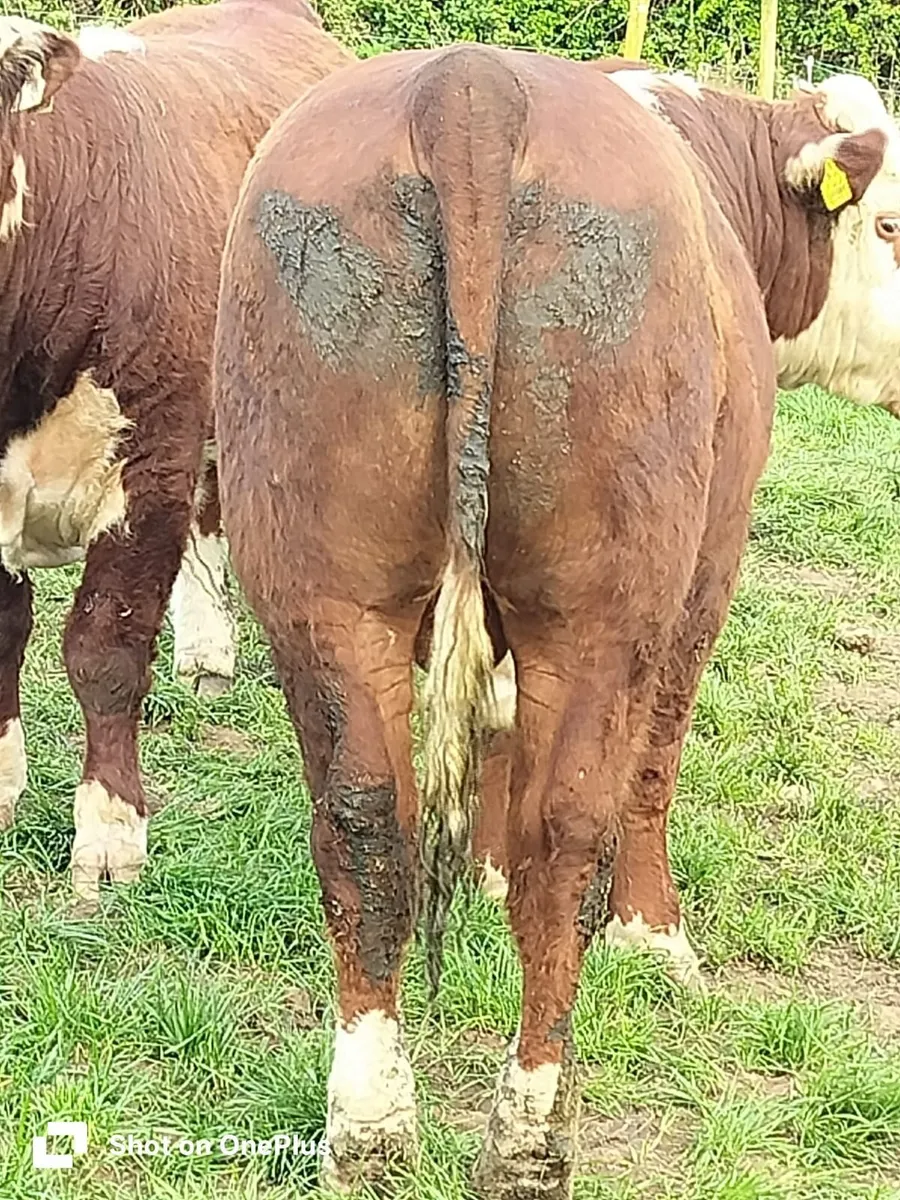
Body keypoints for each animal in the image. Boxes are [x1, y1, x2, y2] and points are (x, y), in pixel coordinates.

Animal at [213, 44, 900, 1199]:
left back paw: (371, 1125)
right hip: (606, 602)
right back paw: (531, 1134)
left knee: (365, 824)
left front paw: (482, 868)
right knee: (571, 831)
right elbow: (652, 761)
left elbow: (489, 736)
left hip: (321, 585)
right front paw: (653, 936)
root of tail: (469, 87)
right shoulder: (708, 564)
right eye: (890, 225)